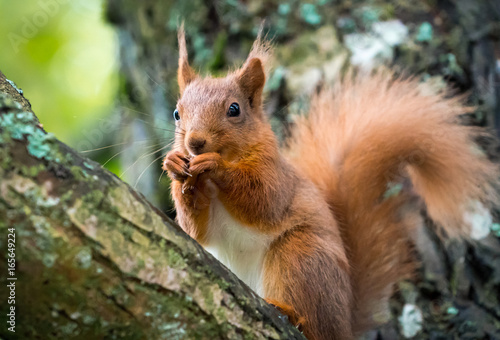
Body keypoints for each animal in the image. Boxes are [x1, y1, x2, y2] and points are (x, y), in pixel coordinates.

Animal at [163, 27, 496, 340]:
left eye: (234, 109)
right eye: (177, 113)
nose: (195, 143)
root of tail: (345, 323)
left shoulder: (276, 177)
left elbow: (262, 202)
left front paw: (214, 165)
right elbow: (196, 231)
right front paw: (176, 167)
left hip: (301, 256)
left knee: (314, 325)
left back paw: (290, 312)